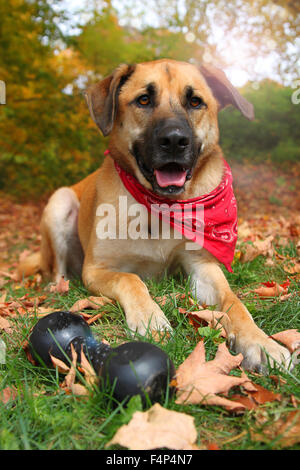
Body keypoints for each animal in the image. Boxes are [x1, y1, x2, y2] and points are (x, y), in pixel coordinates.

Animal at [18, 58, 290, 372]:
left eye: (195, 101)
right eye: (144, 100)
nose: (174, 140)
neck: (161, 207)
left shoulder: (202, 266)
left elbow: (233, 300)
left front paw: (261, 342)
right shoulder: (97, 269)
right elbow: (130, 279)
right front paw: (150, 318)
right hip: (60, 201)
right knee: (57, 270)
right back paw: (57, 287)